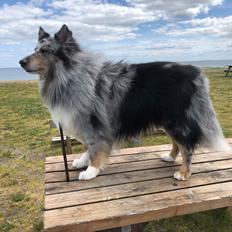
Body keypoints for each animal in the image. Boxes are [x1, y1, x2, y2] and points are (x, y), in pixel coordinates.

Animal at [19, 24, 230, 180]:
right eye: (35, 49)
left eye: (45, 51)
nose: (21, 62)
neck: (69, 75)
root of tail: (196, 72)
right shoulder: (88, 124)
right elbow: (89, 146)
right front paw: (82, 161)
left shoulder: (94, 123)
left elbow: (94, 146)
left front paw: (91, 170)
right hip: (166, 120)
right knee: (176, 143)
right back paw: (169, 158)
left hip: (177, 120)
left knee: (186, 146)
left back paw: (184, 173)